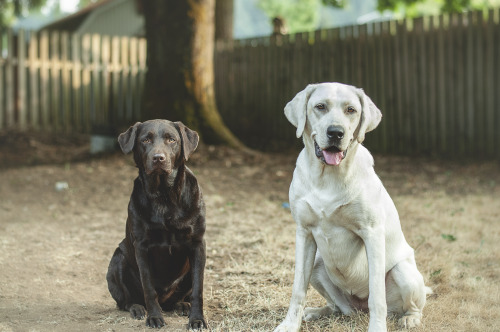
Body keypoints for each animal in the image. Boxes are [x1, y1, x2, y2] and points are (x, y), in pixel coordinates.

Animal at [105, 120, 207, 330]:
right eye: (145, 140)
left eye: (171, 139)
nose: (158, 158)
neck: (164, 197)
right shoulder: (142, 247)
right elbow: (148, 288)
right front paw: (154, 317)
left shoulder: (197, 245)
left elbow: (198, 289)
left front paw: (197, 319)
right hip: (118, 259)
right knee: (126, 301)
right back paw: (137, 308)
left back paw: (182, 305)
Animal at [274, 83, 430, 332]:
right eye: (320, 106)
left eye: (351, 110)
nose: (336, 132)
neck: (327, 177)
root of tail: (359, 309)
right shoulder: (304, 232)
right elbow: (298, 289)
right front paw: (289, 324)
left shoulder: (372, 233)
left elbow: (377, 296)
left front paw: (377, 328)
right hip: (318, 265)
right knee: (338, 308)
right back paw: (317, 311)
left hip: (403, 271)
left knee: (408, 305)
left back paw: (410, 318)